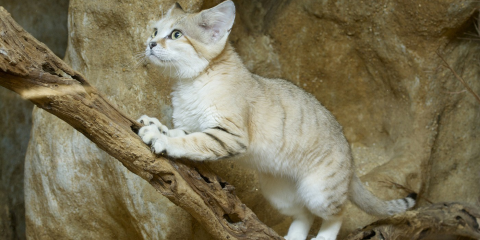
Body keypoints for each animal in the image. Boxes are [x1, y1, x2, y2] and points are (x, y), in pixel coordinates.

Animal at [137, 2, 414, 240]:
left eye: (176, 34)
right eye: (155, 30)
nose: (150, 43)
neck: (191, 81)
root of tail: (350, 156)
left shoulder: (229, 133)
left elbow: (190, 141)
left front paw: (160, 138)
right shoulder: (194, 124)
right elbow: (182, 132)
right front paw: (156, 125)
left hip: (320, 191)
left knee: (337, 213)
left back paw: (324, 236)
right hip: (279, 192)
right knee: (304, 214)